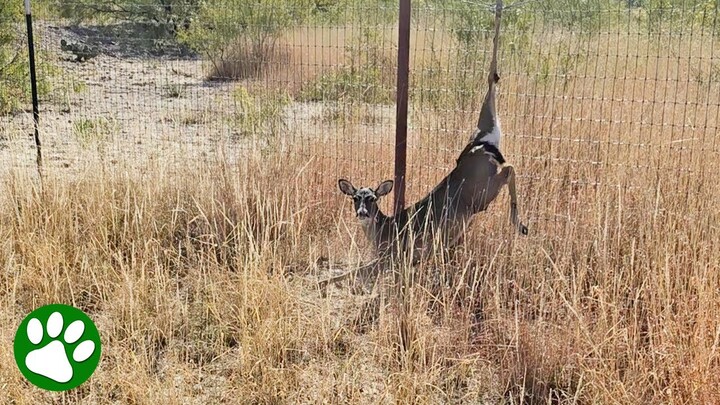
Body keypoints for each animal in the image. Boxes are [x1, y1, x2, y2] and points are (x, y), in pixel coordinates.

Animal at [320, 0, 528, 292]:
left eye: (372, 198)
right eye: (355, 197)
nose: (361, 213)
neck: (384, 230)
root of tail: (481, 142)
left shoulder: (394, 257)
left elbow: (351, 274)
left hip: (480, 193)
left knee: (510, 168)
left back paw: (519, 223)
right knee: (492, 81)